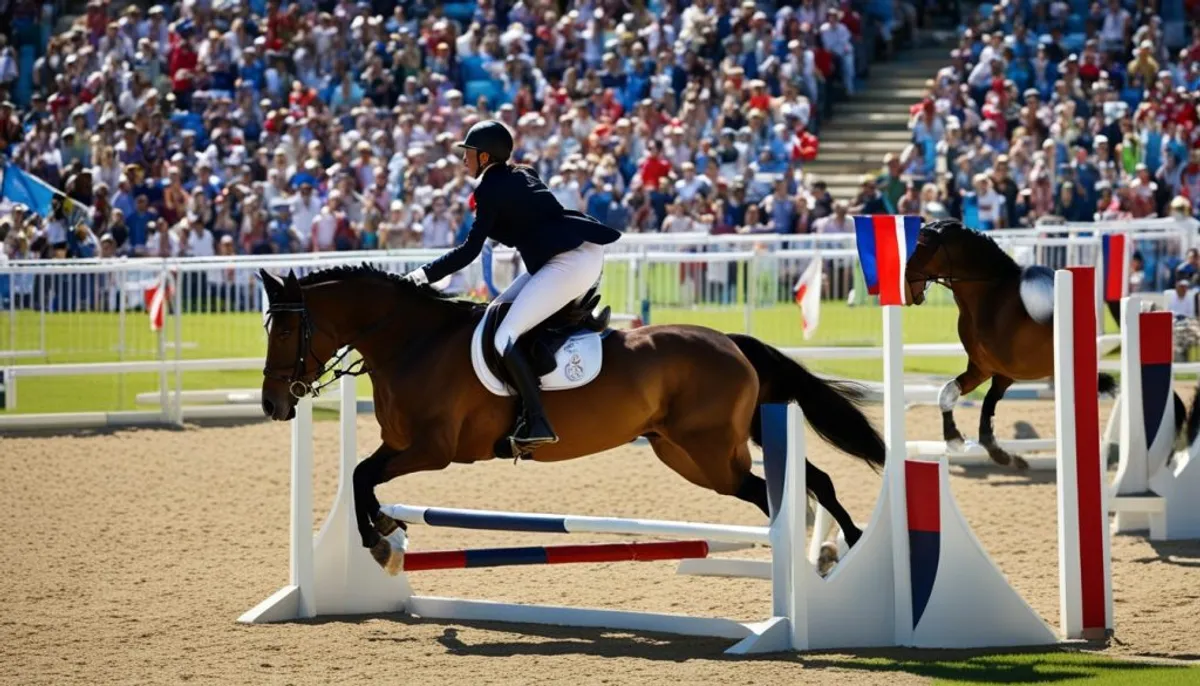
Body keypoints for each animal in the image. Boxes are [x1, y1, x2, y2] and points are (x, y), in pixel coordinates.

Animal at [260, 265, 883, 575]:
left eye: (286, 329)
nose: (274, 405)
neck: (413, 342)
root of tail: (730, 341)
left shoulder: (433, 451)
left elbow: (363, 476)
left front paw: (378, 540)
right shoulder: (401, 446)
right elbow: (361, 477)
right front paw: (387, 533)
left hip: (709, 457)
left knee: (778, 492)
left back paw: (840, 547)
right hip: (691, 449)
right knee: (811, 480)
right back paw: (841, 548)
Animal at [902, 219, 1185, 472]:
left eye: (919, 247)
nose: (904, 289)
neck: (988, 297)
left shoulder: (1007, 373)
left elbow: (985, 411)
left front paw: (998, 454)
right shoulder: (985, 369)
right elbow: (952, 397)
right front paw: (963, 442)